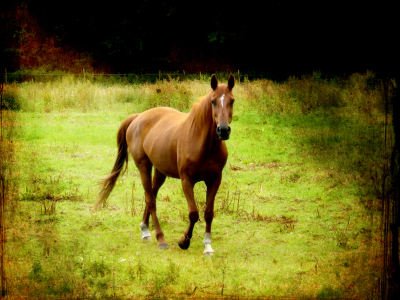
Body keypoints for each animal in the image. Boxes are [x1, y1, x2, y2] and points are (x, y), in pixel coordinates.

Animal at [94, 74, 236, 254]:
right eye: (213, 101)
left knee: (152, 195)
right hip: (144, 166)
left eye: (232, 101)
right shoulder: (187, 180)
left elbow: (208, 213)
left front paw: (207, 245)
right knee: (150, 200)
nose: (223, 130)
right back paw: (160, 238)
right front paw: (183, 241)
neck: (202, 143)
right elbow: (193, 213)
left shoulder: (215, 180)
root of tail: (138, 117)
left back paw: (145, 229)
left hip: (160, 171)